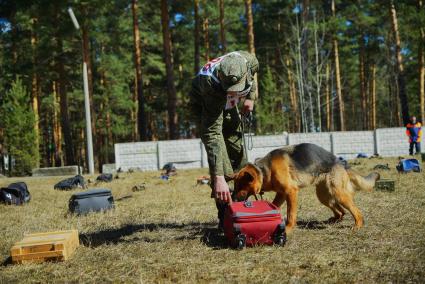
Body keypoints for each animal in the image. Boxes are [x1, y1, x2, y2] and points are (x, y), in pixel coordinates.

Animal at [230, 143, 380, 232]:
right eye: (235, 186)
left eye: (240, 186)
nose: (232, 199)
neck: (264, 170)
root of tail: (340, 162)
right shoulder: (281, 194)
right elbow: (274, 206)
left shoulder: (291, 192)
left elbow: (291, 213)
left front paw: (288, 228)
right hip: (323, 196)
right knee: (340, 211)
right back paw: (334, 220)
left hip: (339, 194)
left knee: (356, 211)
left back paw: (357, 225)